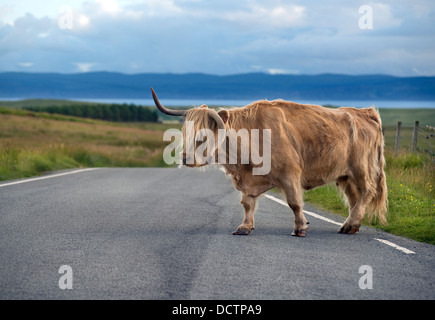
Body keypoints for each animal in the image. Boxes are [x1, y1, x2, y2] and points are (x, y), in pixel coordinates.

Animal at [152, 89, 388, 236]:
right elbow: (247, 203)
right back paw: (350, 225)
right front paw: (245, 227)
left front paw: (300, 228)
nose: (185, 158)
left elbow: (294, 203)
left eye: (204, 136)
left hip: (361, 169)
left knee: (366, 192)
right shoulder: (248, 181)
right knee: (354, 198)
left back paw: (351, 224)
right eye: (186, 132)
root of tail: (365, 112)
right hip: (345, 175)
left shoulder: (290, 174)